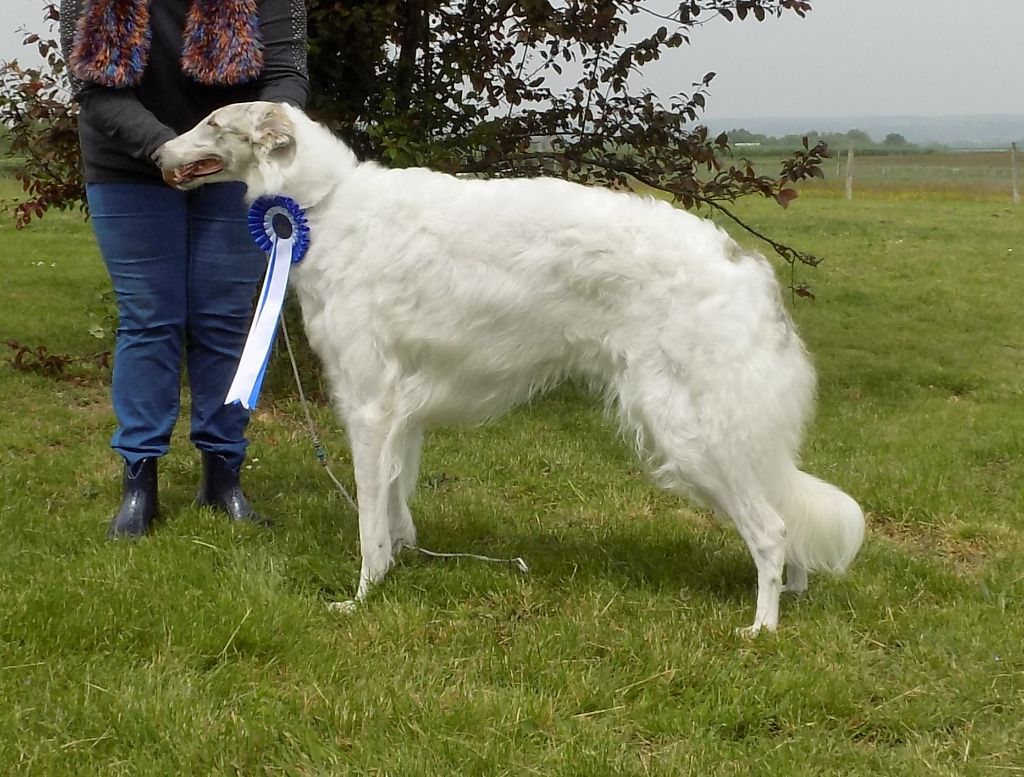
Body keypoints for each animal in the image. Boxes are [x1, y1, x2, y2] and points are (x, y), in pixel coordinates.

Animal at [157, 100, 864, 634]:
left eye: (213, 122)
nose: (156, 156)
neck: (325, 206)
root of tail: (746, 267)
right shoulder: (401, 413)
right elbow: (396, 506)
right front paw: (399, 569)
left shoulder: (368, 404)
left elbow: (368, 522)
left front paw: (359, 597)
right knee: (784, 524)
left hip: (693, 430)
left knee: (772, 529)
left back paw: (761, 627)